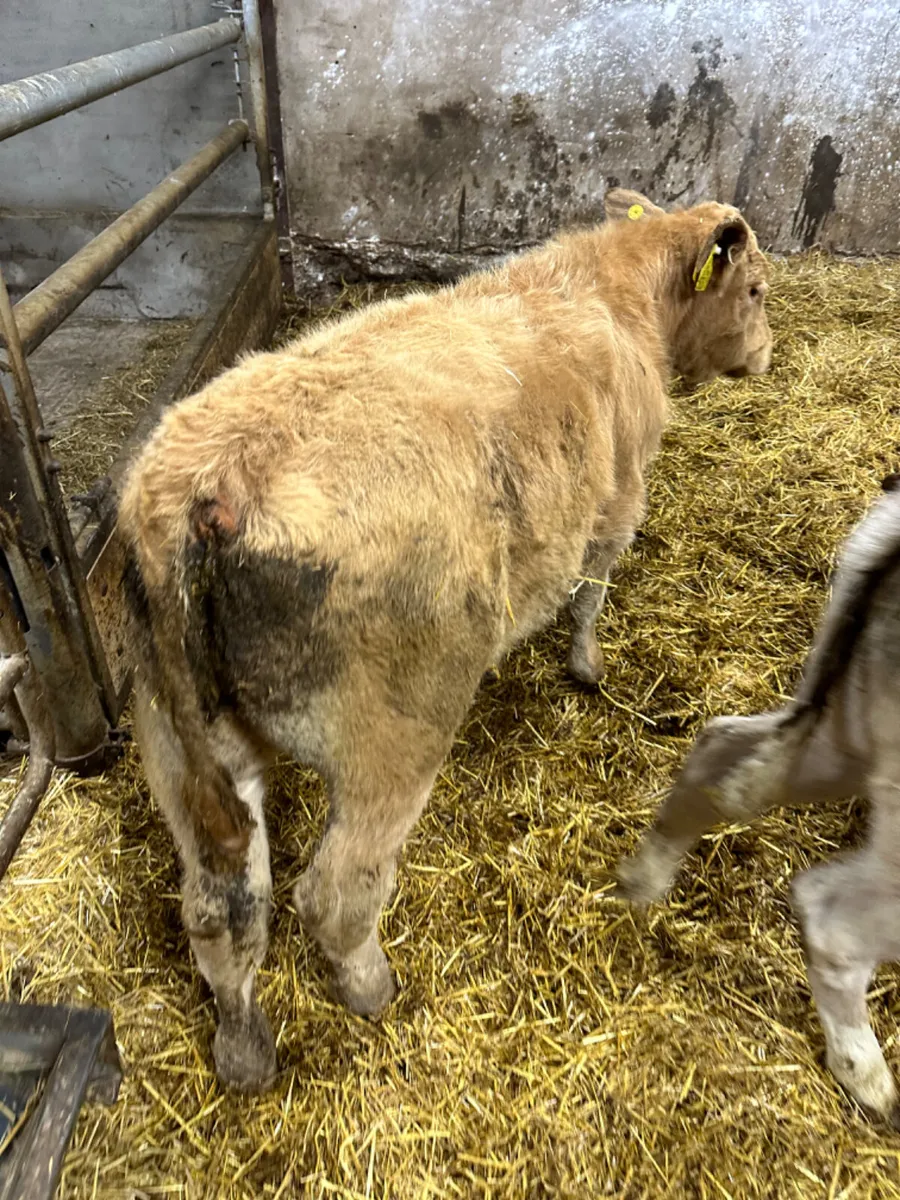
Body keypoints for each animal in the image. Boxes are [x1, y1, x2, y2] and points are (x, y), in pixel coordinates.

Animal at [119, 188, 772, 1091]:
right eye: (756, 291)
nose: (767, 355)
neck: (610, 289)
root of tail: (213, 481)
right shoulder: (618, 503)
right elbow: (592, 595)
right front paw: (586, 666)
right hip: (395, 735)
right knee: (335, 894)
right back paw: (371, 989)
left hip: (177, 741)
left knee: (222, 908)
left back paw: (244, 1049)